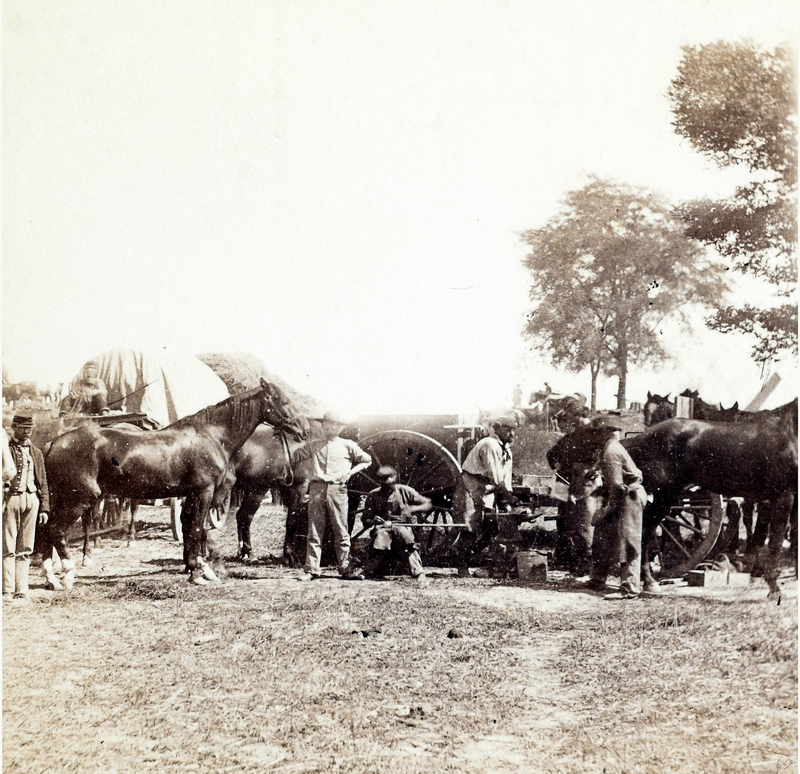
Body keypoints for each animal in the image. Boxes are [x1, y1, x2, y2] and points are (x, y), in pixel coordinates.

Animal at [39, 380, 310, 588]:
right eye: (283, 400)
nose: (305, 429)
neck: (211, 435)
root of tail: (53, 443)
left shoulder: (190, 495)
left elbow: (190, 527)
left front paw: (195, 567)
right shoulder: (203, 492)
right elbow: (197, 529)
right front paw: (198, 573)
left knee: (46, 531)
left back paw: (50, 577)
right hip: (78, 499)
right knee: (56, 530)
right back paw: (68, 574)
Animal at [548, 398, 796, 596]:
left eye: (581, 431)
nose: (551, 455)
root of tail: (643, 437)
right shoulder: (784, 496)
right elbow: (776, 540)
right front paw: (774, 587)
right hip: (663, 497)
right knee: (645, 533)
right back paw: (646, 581)